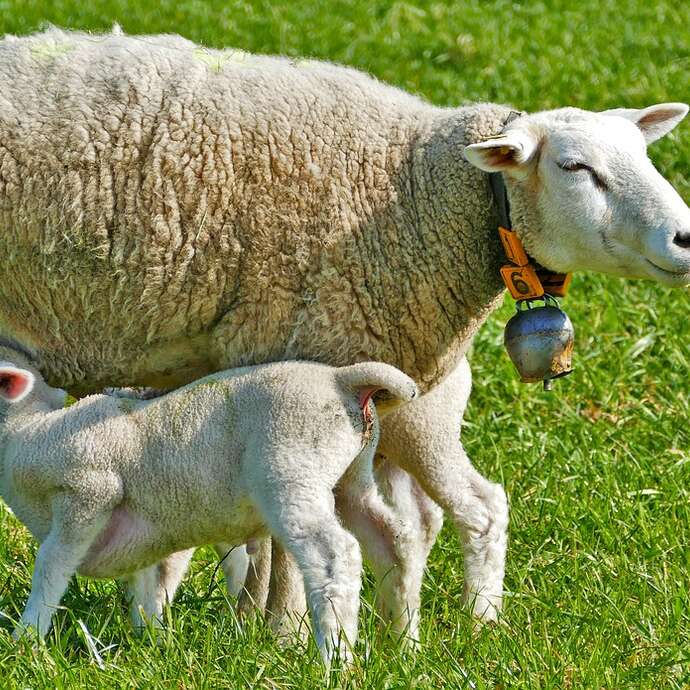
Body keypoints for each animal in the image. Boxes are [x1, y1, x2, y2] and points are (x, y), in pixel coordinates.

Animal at [0, 338, 414, 660]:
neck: (28, 431)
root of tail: (340, 380)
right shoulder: (144, 530)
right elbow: (149, 582)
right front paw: (150, 642)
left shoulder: (90, 491)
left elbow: (50, 566)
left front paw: (26, 639)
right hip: (352, 477)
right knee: (394, 542)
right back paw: (401, 644)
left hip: (292, 470)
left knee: (334, 555)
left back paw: (333, 659)